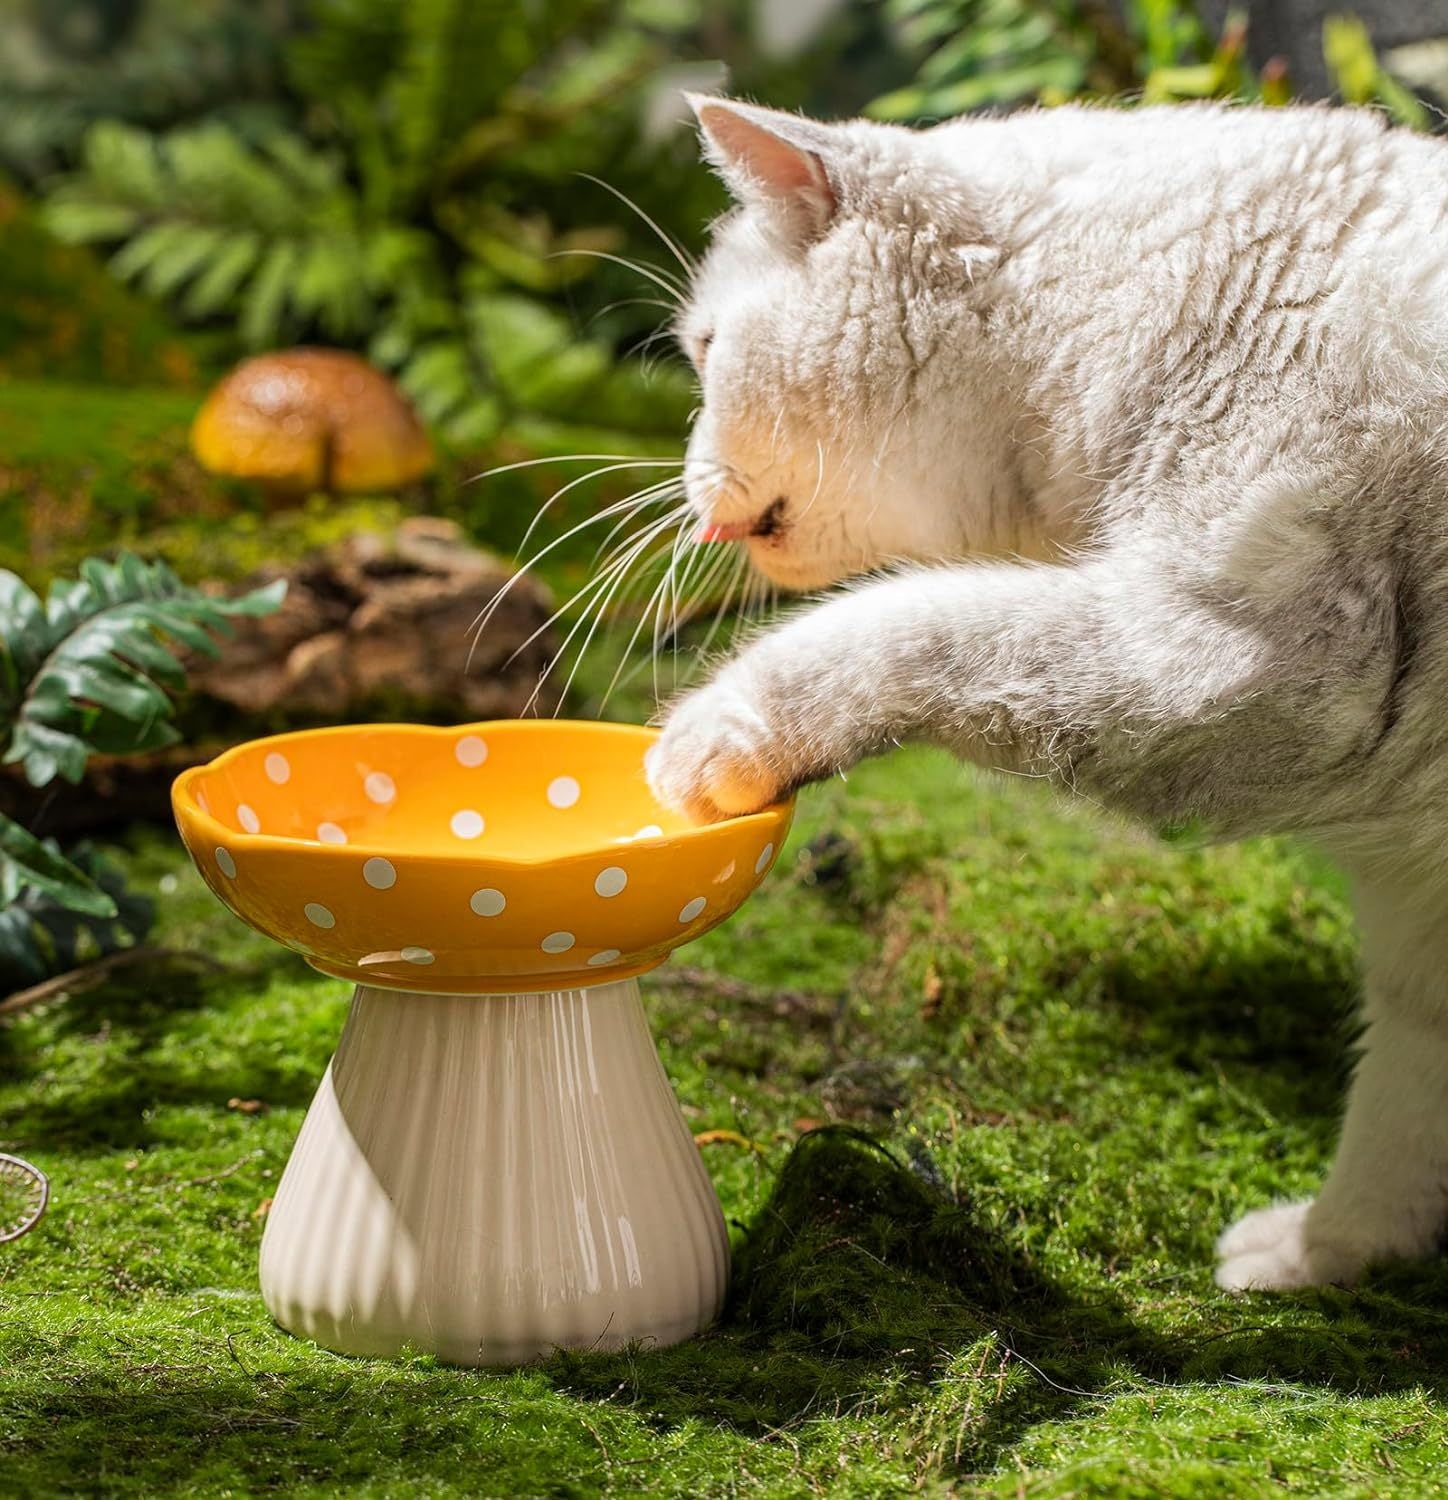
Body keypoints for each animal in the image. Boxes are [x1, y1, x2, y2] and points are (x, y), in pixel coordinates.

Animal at [648, 93, 1448, 1290]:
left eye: (705, 351)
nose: (688, 486)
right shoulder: (1412, 875)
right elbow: (1406, 1087)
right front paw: (1330, 1252)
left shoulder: (1233, 662)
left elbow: (906, 625)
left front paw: (710, 733)